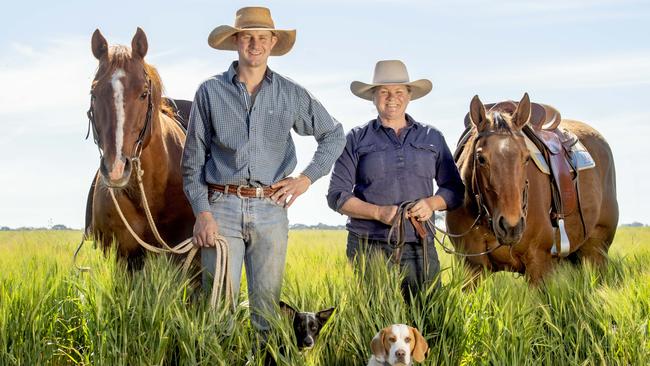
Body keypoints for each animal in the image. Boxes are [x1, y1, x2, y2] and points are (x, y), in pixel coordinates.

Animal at [446, 93, 616, 282]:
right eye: (480, 158)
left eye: (526, 157)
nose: (511, 226)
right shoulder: (471, 266)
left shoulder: (538, 263)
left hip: (596, 251)